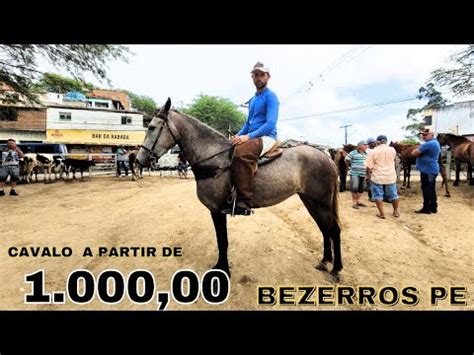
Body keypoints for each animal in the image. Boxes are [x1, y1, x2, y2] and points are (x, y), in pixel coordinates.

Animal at [137, 98, 344, 282]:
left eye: (151, 127)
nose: (139, 160)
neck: (214, 160)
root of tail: (326, 156)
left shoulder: (216, 210)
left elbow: (222, 241)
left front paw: (223, 269)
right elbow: (221, 241)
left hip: (322, 202)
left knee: (334, 229)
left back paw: (336, 269)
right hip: (310, 200)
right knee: (324, 228)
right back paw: (325, 261)